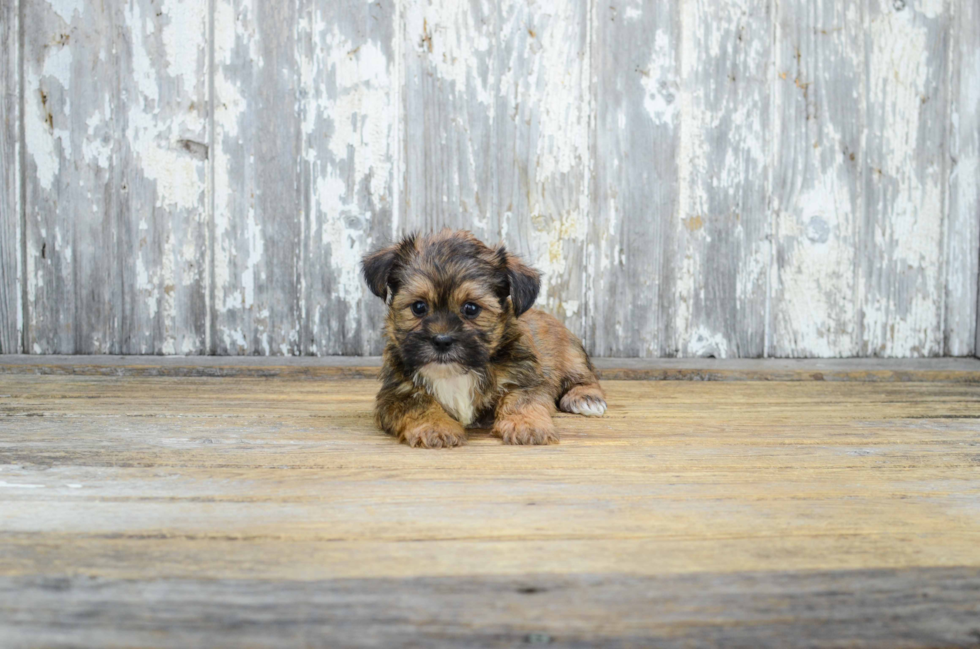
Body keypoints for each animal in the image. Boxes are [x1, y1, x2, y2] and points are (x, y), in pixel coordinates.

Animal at [360, 230, 604, 448]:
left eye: (471, 308)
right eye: (419, 307)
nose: (442, 341)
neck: (456, 373)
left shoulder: (526, 378)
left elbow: (522, 400)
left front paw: (526, 425)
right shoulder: (397, 393)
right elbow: (419, 405)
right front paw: (436, 427)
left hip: (571, 355)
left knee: (586, 378)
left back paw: (586, 398)